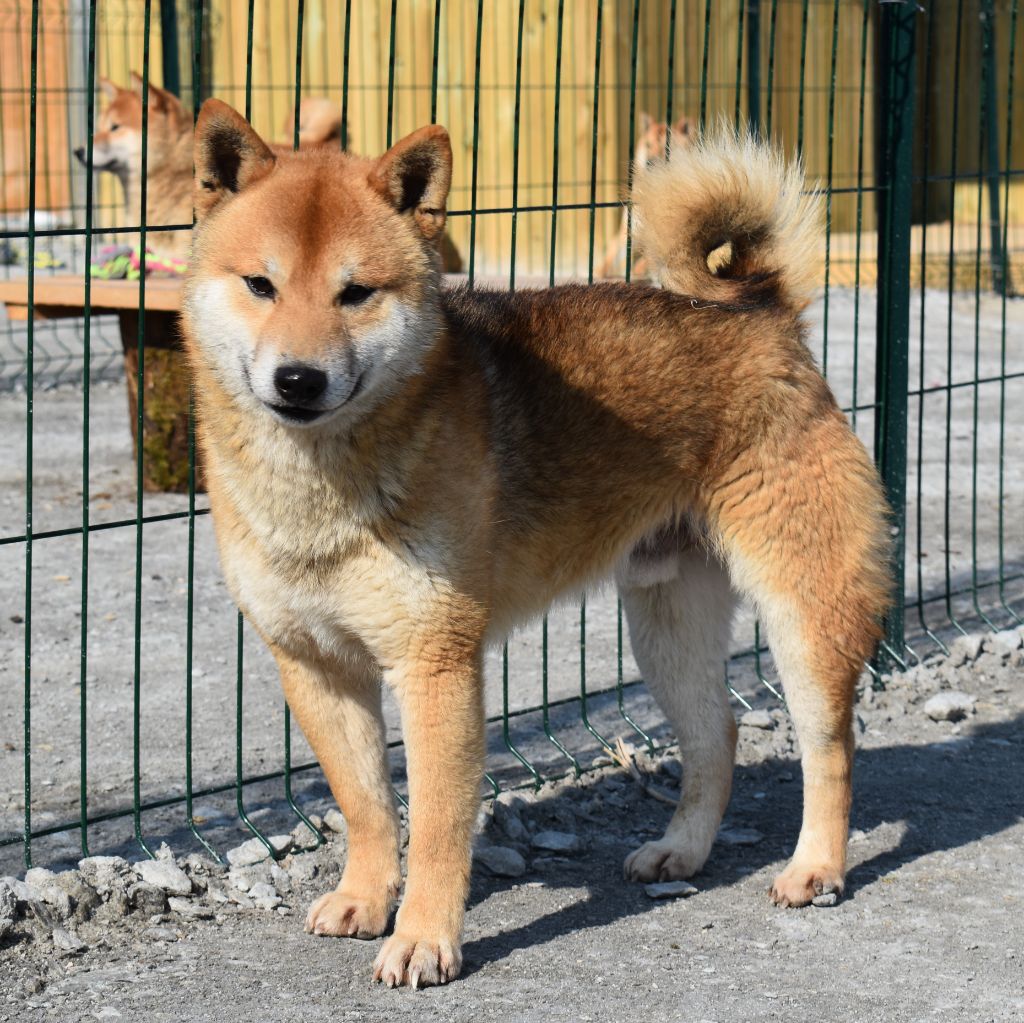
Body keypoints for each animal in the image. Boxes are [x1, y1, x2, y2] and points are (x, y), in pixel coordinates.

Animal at [597, 112, 693, 279]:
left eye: (667, 147)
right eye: (648, 145)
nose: (649, 161)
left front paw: (640, 268)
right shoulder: (630, 226)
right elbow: (613, 251)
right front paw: (600, 269)